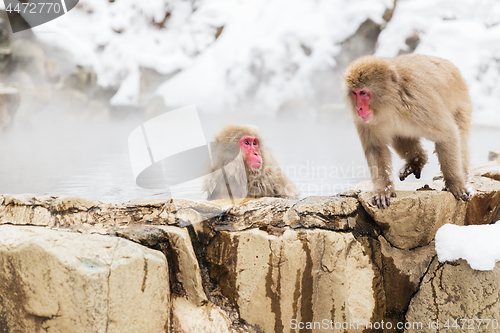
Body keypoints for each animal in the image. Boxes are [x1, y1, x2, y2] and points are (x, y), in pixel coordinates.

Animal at [344, 54, 472, 208]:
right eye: (354, 93)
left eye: (363, 92)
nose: (359, 109)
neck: (392, 104)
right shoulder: (365, 122)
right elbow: (376, 148)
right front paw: (383, 189)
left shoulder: (420, 104)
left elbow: (448, 134)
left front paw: (455, 183)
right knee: (400, 138)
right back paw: (417, 160)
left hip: (462, 105)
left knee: (460, 137)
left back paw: (463, 176)